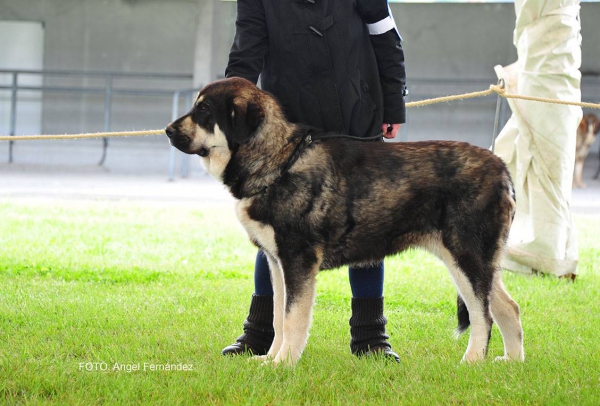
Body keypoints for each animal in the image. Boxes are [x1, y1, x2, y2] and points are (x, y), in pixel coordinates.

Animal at [165, 77, 524, 366]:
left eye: (204, 110)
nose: (167, 130)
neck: (278, 161)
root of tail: (502, 169)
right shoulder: (277, 262)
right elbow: (279, 317)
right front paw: (270, 359)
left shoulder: (298, 261)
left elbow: (293, 318)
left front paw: (283, 364)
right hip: (477, 262)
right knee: (508, 308)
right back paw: (510, 363)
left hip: (466, 257)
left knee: (483, 315)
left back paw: (473, 361)